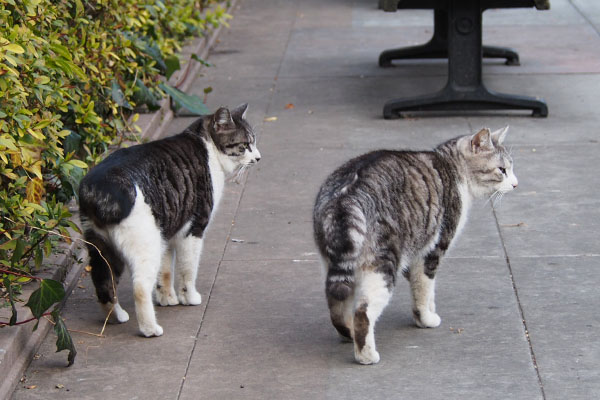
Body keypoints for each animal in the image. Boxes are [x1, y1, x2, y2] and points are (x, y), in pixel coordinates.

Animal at [78, 104, 258, 338]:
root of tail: (101, 189)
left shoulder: (167, 229)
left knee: (103, 283)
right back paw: (150, 329)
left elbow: (165, 271)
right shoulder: (193, 228)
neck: (206, 144)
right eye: (245, 145)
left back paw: (117, 316)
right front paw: (189, 298)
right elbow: (187, 270)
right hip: (145, 244)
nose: (258, 158)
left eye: (254, 142)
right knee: (140, 287)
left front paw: (167, 299)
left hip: (103, 248)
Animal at [314, 126, 516, 364]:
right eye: (502, 170)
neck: (453, 168)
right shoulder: (431, 251)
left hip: (337, 266)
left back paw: (349, 333)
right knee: (362, 312)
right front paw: (426, 318)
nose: (515, 183)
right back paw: (366, 355)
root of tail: (346, 196)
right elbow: (424, 288)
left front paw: (428, 311)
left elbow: (426, 290)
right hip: (382, 266)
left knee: (336, 304)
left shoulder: (414, 254)